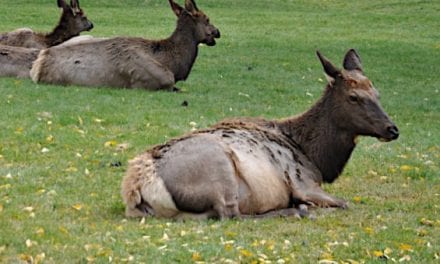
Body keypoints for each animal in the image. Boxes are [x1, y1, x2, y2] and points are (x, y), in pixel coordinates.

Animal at [120, 48, 398, 220]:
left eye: (378, 93)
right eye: (353, 97)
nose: (392, 129)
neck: (316, 158)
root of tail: (136, 186)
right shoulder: (303, 183)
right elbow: (343, 202)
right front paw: (304, 206)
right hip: (220, 171)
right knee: (231, 214)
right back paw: (296, 211)